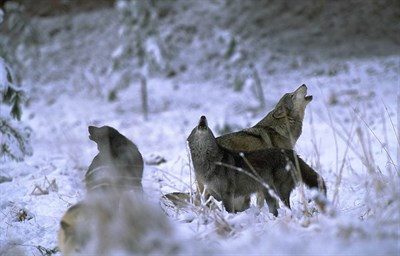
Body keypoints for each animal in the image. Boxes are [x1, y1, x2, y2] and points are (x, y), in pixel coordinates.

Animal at [187, 116, 324, 216]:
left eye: (208, 126)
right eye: (194, 128)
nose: (203, 117)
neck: (210, 163)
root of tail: (292, 153)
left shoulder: (228, 194)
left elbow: (229, 211)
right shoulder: (211, 192)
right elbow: (207, 201)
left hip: (279, 191)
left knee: (287, 208)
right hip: (268, 193)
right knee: (275, 210)